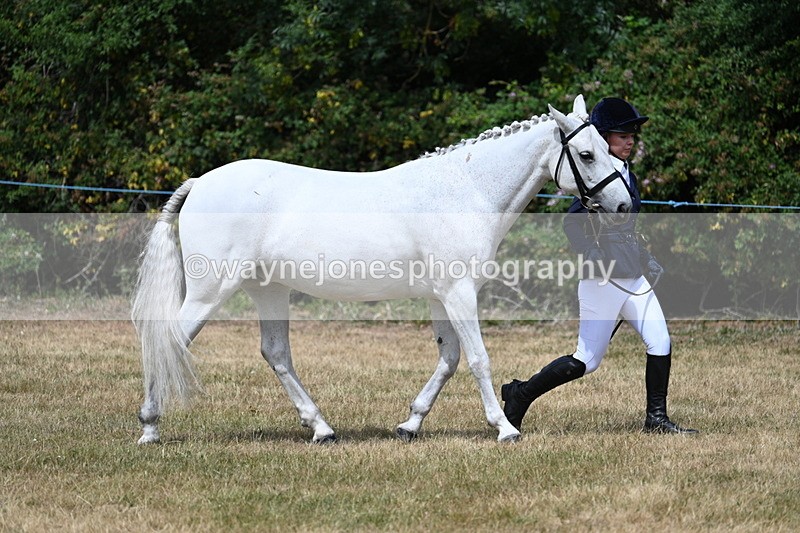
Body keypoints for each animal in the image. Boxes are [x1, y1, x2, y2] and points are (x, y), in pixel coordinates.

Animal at [131, 94, 631, 445]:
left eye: (609, 149)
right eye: (587, 155)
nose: (624, 206)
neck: (465, 190)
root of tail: (201, 182)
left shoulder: (440, 297)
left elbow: (448, 359)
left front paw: (411, 424)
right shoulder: (458, 292)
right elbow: (477, 358)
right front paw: (504, 429)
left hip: (267, 290)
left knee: (276, 354)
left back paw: (322, 429)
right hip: (209, 291)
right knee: (168, 340)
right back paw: (150, 429)